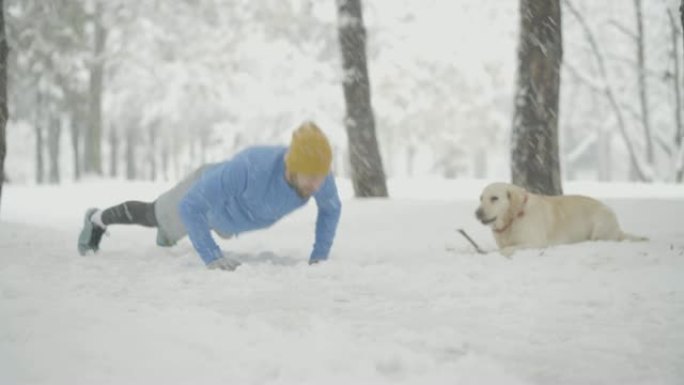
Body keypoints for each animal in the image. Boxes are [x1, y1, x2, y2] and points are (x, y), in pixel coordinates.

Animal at [476, 182, 648, 256]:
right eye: (481, 198)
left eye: (494, 198)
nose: (477, 213)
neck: (515, 216)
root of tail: (619, 229)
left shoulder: (536, 243)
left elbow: (506, 249)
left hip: (600, 227)